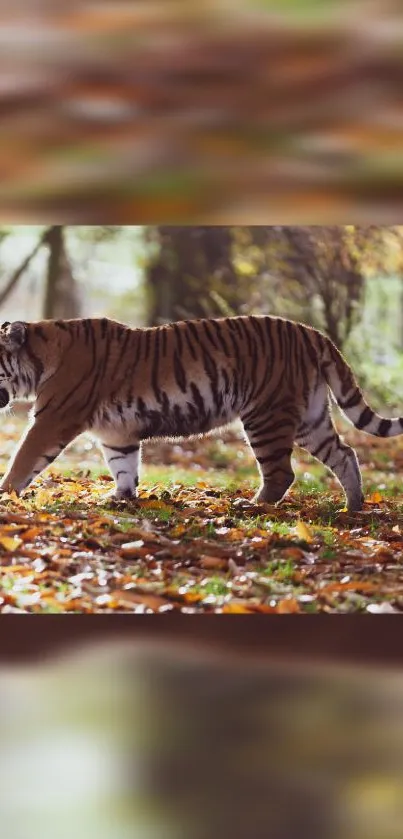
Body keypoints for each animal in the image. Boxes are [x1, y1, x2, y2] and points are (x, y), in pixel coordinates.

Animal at [0, 316, 400, 512]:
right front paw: (121, 498)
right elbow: (124, 466)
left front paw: (5, 495)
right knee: (345, 454)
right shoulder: (117, 433)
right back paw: (354, 507)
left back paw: (251, 506)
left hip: (266, 416)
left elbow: (23, 459)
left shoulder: (53, 418)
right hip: (309, 419)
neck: (38, 356)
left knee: (282, 472)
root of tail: (312, 333)